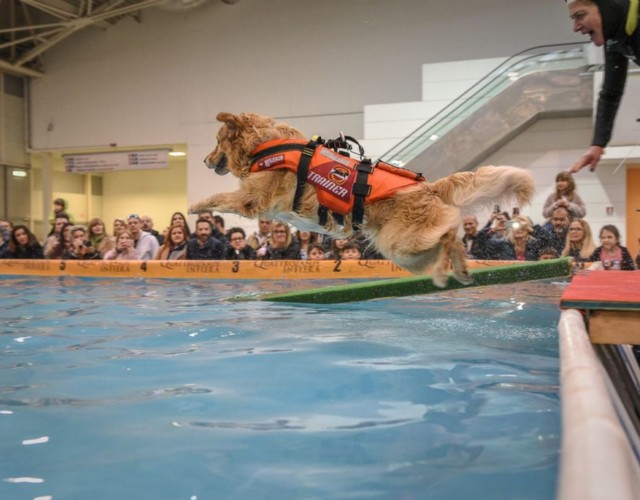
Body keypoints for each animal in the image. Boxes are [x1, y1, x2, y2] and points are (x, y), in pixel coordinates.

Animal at [190, 112, 536, 288]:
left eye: (217, 142)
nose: (205, 160)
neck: (266, 144)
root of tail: (430, 188)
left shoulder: (252, 198)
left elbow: (218, 196)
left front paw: (195, 206)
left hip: (400, 243)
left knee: (449, 233)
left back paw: (447, 271)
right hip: (405, 251)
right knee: (449, 240)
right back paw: (459, 271)